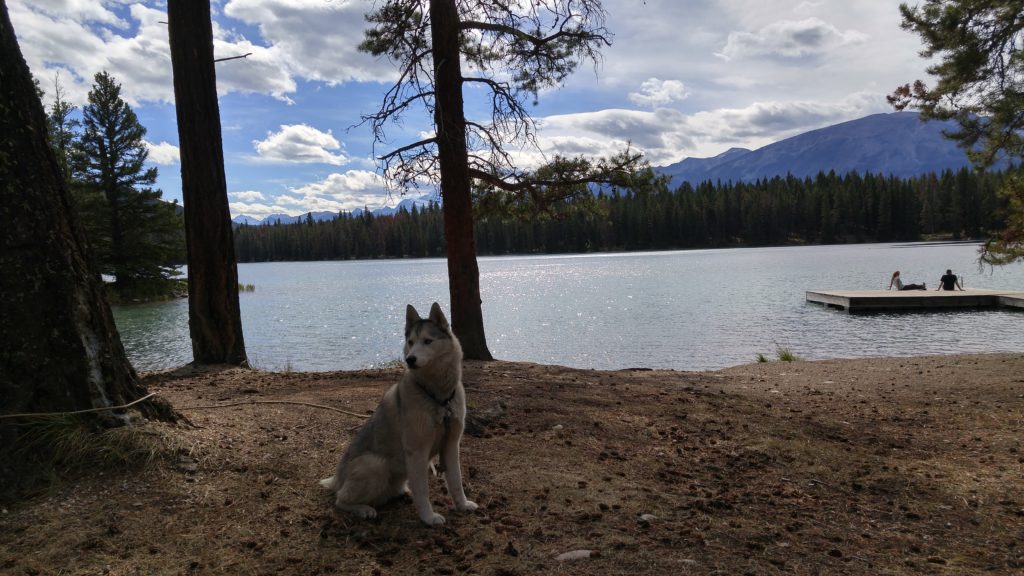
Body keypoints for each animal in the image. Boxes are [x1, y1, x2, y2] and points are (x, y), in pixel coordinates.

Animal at [317, 303, 477, 522]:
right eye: (410, 342)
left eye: (427, 341)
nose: (410, 359)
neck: (438, 398)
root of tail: (337, 479)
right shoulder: (417, 452)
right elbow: (423, 490)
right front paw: (428, 518)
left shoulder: (451, 445)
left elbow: (456, 481)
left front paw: (462, 505)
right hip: (374, 464)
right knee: (340, 499)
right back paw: (363, 509)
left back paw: (401, 493)